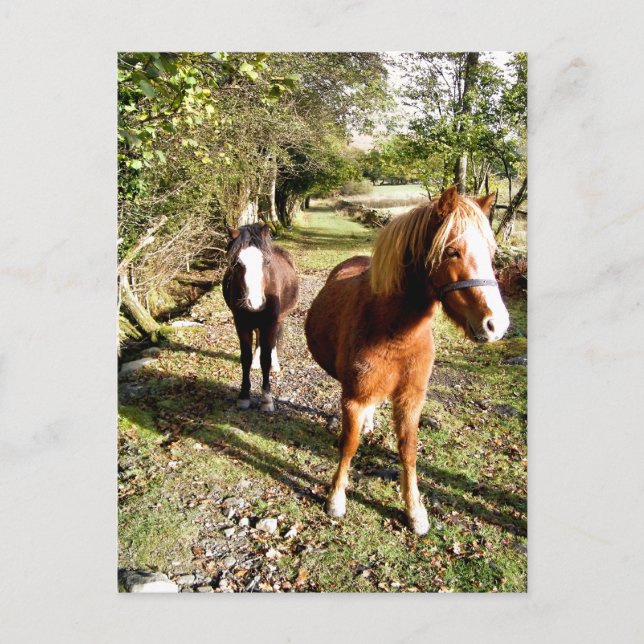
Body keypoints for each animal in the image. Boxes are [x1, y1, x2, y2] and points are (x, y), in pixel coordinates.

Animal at [223, 223, 299, 412]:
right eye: (237, 263)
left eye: (266, 262)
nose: (255, 303)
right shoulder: (241, 324)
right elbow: (245, 358)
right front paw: (243, 396)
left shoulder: (270, 324)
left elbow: (266, 356)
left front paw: (266, 399)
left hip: (278, 320)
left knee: (274, 342)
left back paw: (275, 365)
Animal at [304, 186, 510, 535]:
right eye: (452, 252)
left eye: (492, 252)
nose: (496, 325)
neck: (394, 332)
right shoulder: (353, 399)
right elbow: (349, 444)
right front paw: (336, 498)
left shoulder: (411, 399)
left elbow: (409, 450)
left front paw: (415, 510)